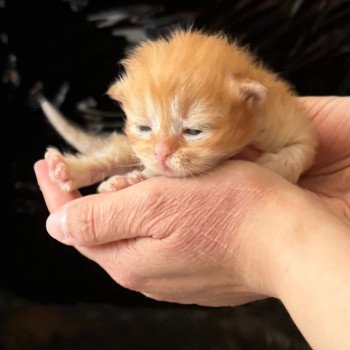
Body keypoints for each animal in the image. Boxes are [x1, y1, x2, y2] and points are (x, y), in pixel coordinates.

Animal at [41, 30, 318, 193]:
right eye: (144, 128)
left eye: (193, 131)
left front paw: (269, 166)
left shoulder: (287, 122)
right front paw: (130, 179)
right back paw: (66, 171)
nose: (161, 153)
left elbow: (301, 152)